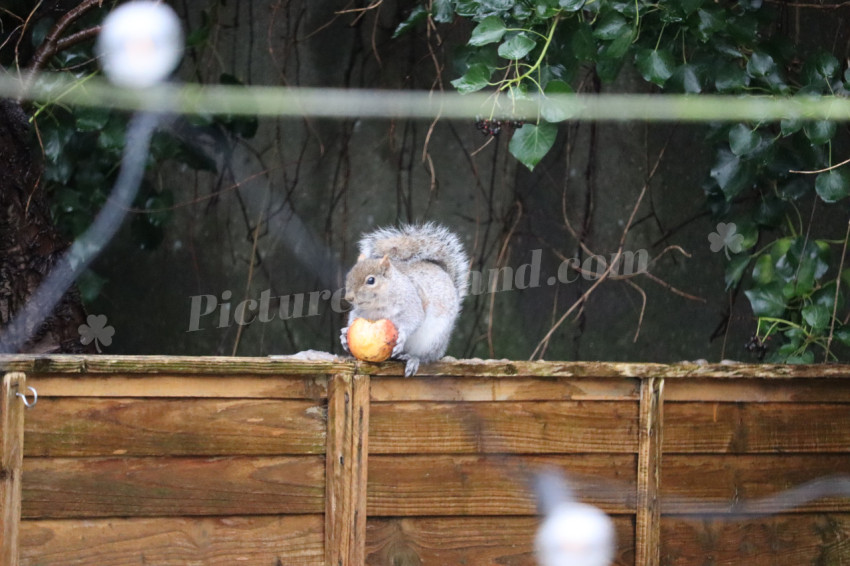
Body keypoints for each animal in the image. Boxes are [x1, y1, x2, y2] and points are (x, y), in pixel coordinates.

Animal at [340, 222, 468, 376]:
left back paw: (412, 359)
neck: (377, 306)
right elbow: (353, 318)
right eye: (349, 275)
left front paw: (402, 336)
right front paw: (344, 335)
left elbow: (413, 319)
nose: (349, 297)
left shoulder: (411, 303)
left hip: (432, 340)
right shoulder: (361, 312)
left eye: (371, 280)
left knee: (425, 357)